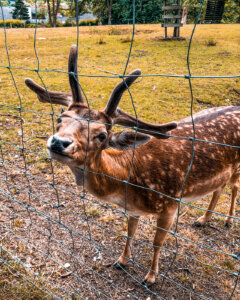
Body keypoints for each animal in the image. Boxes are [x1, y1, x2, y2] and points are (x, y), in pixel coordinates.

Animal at [25, 44, 239, 284]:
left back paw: (228, 220)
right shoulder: (132, 209)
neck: (129, 182)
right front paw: (122, 261)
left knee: (234, 187)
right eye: (60, 119)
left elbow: (157, 243)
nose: (59, 142)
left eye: (102, 135)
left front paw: (151, 276)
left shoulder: (170, 204)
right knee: (219, 188)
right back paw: (203, 219)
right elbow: (130, 232)